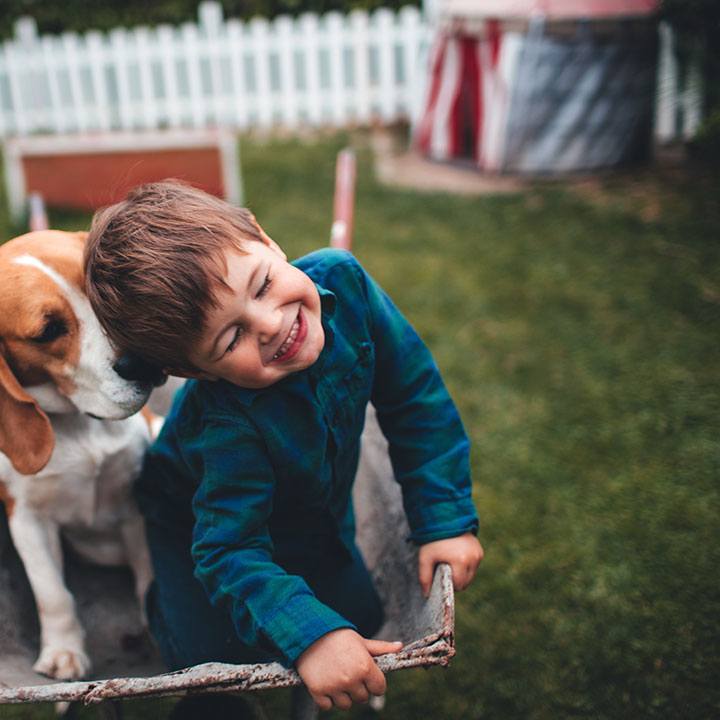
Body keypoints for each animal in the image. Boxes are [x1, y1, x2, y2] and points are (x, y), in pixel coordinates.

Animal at [0, 231, 160, 680]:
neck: (79, 422)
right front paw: (63, 651)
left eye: (101, 286)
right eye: (48, 330)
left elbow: (149, 572)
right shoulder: (26, 518)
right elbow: (52, 592)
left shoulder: (136, 504)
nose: (142, 360)